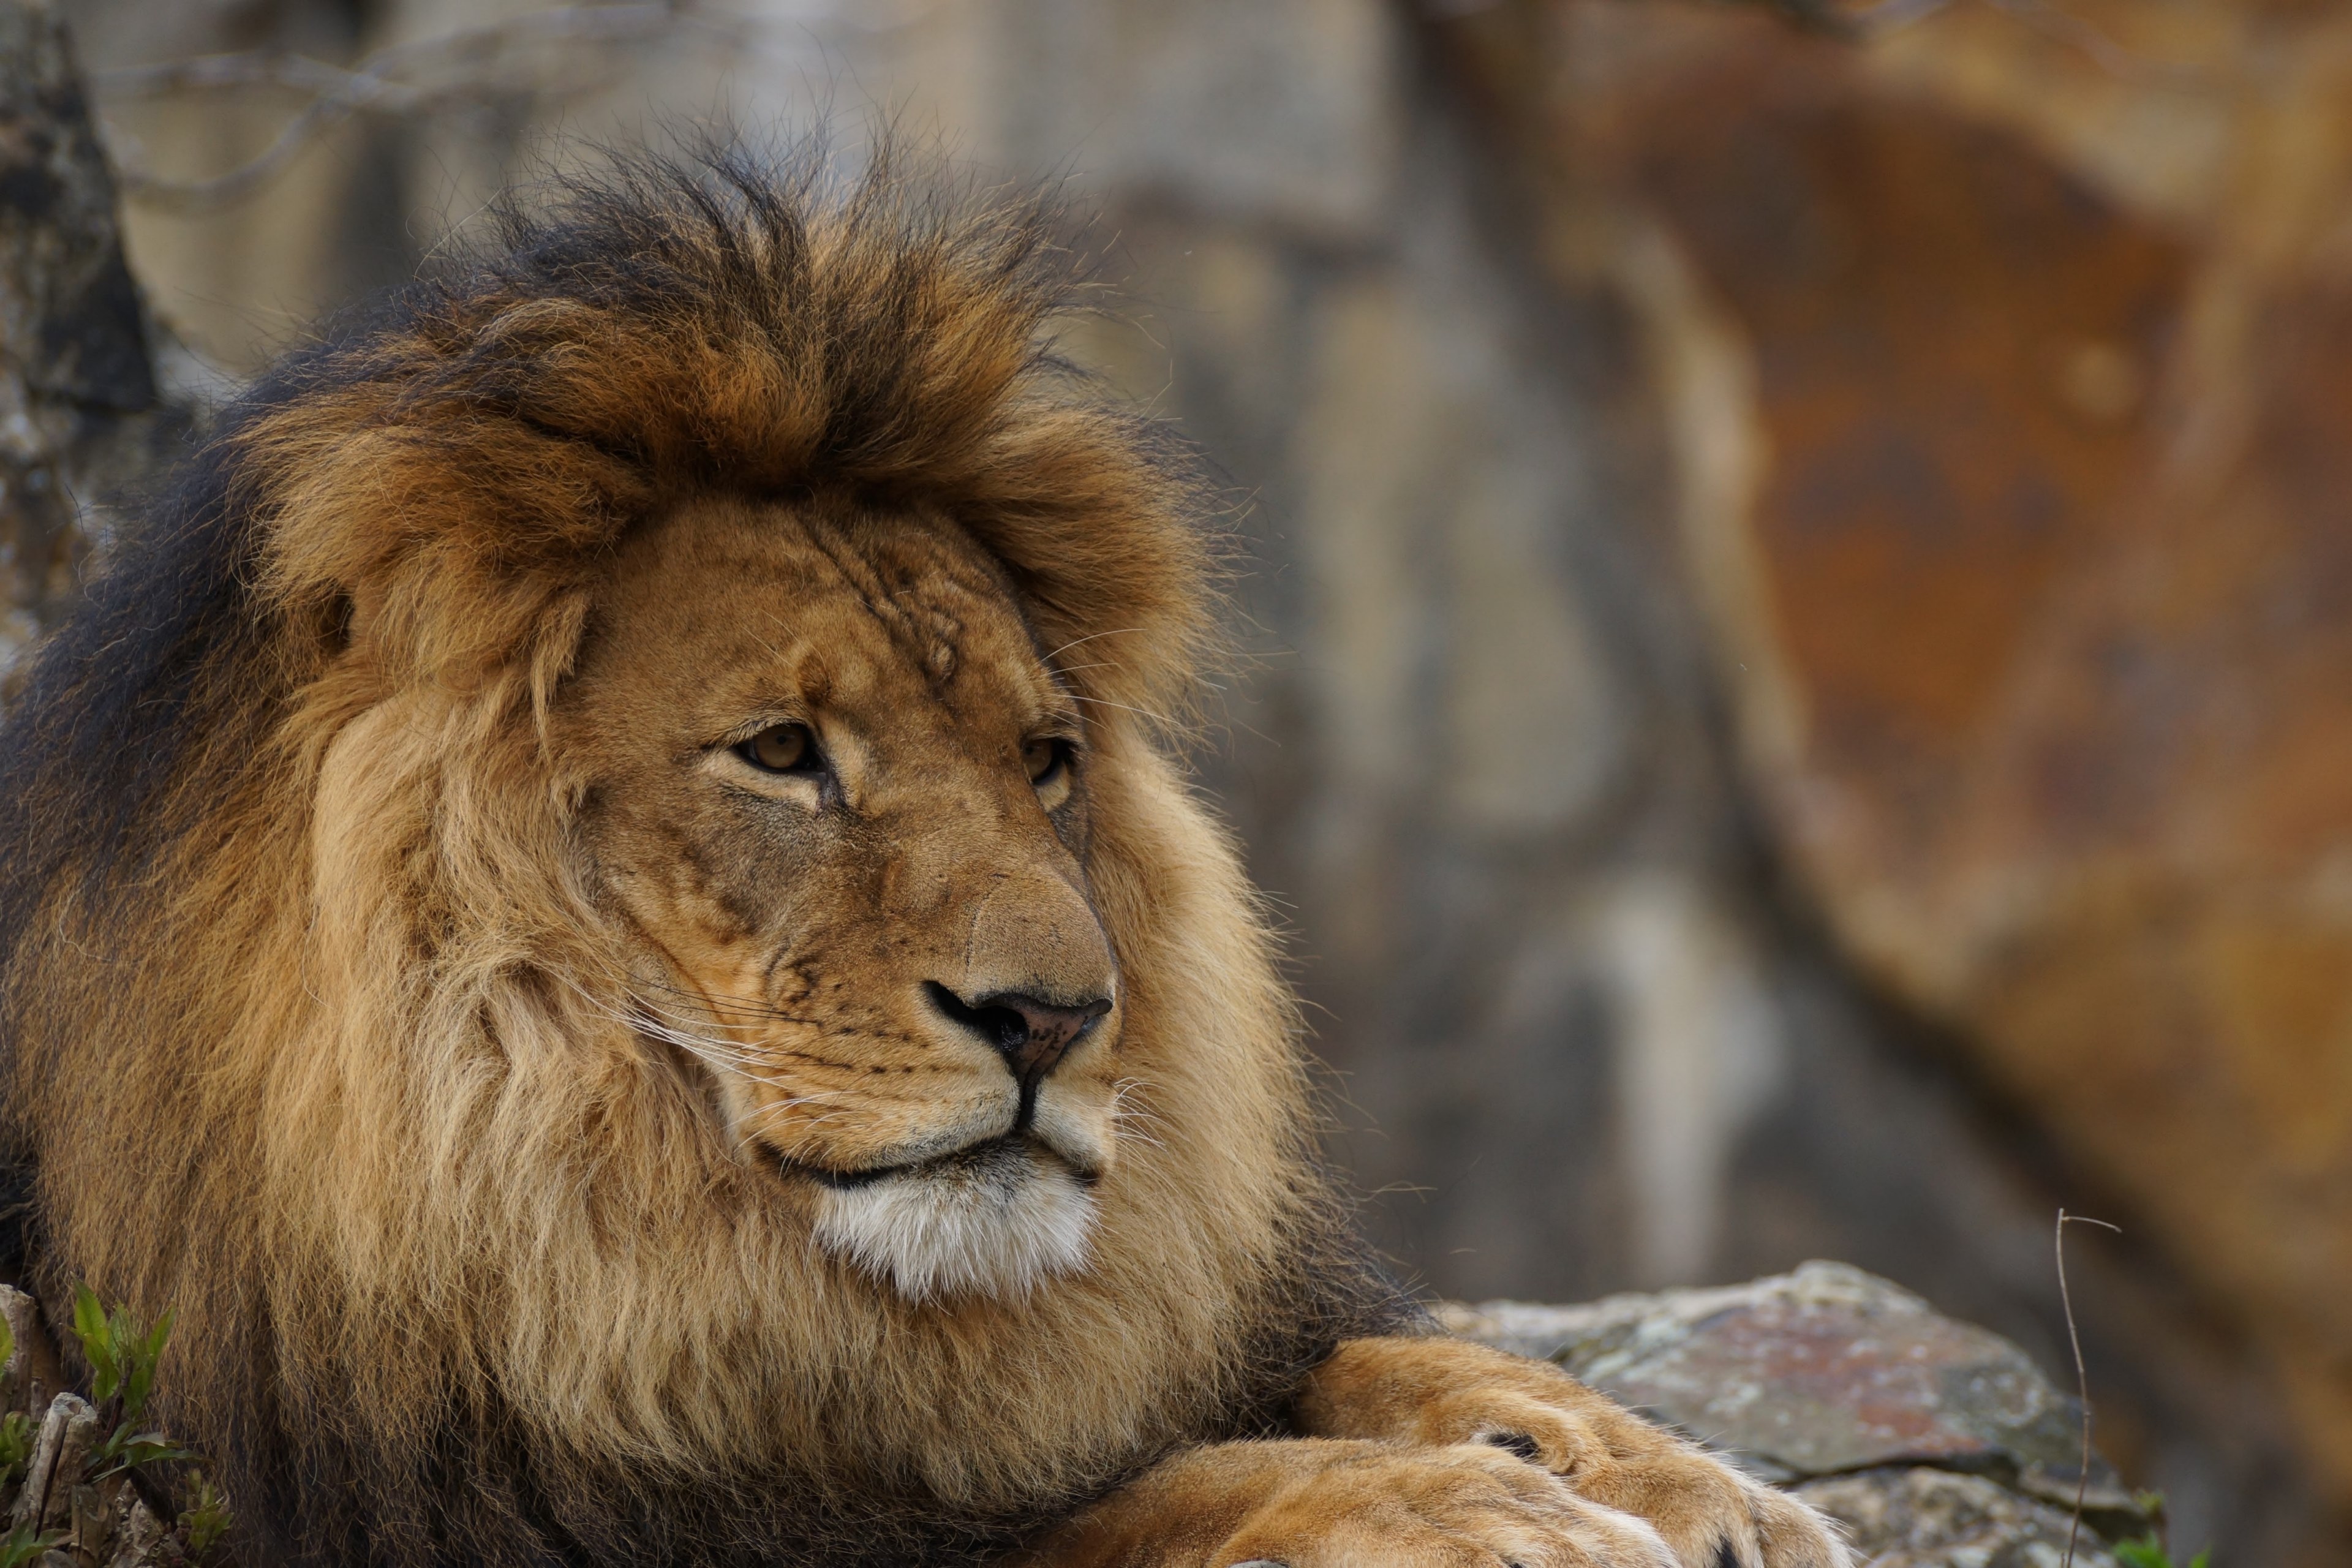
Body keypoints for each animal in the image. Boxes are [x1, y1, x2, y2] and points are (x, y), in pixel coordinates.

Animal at [0, 150, 1848, 1568]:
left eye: (1044, 763)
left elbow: (1340, 1357)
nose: (1053, 1020)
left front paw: (1661, 1473)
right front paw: (1471, 1511)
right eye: (780, 752)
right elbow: (1121, 1508)